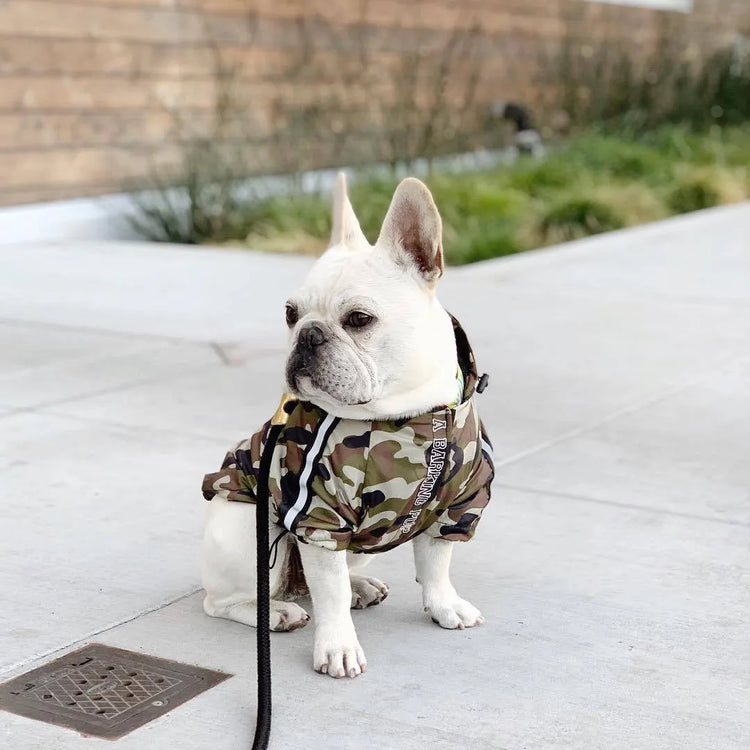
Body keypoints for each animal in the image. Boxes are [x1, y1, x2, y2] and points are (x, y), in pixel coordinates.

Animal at [203, 173, 496, 680]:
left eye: (359, 319)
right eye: (290, 313)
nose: (307, 334)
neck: (402, 416)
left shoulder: (459, 503)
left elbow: (437, 561)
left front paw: (444, 605)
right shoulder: (320, 516)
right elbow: (331, 593)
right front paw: (338, 646)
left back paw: (359, 586)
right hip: (251, 534)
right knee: (229, 600)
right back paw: (277, 612)